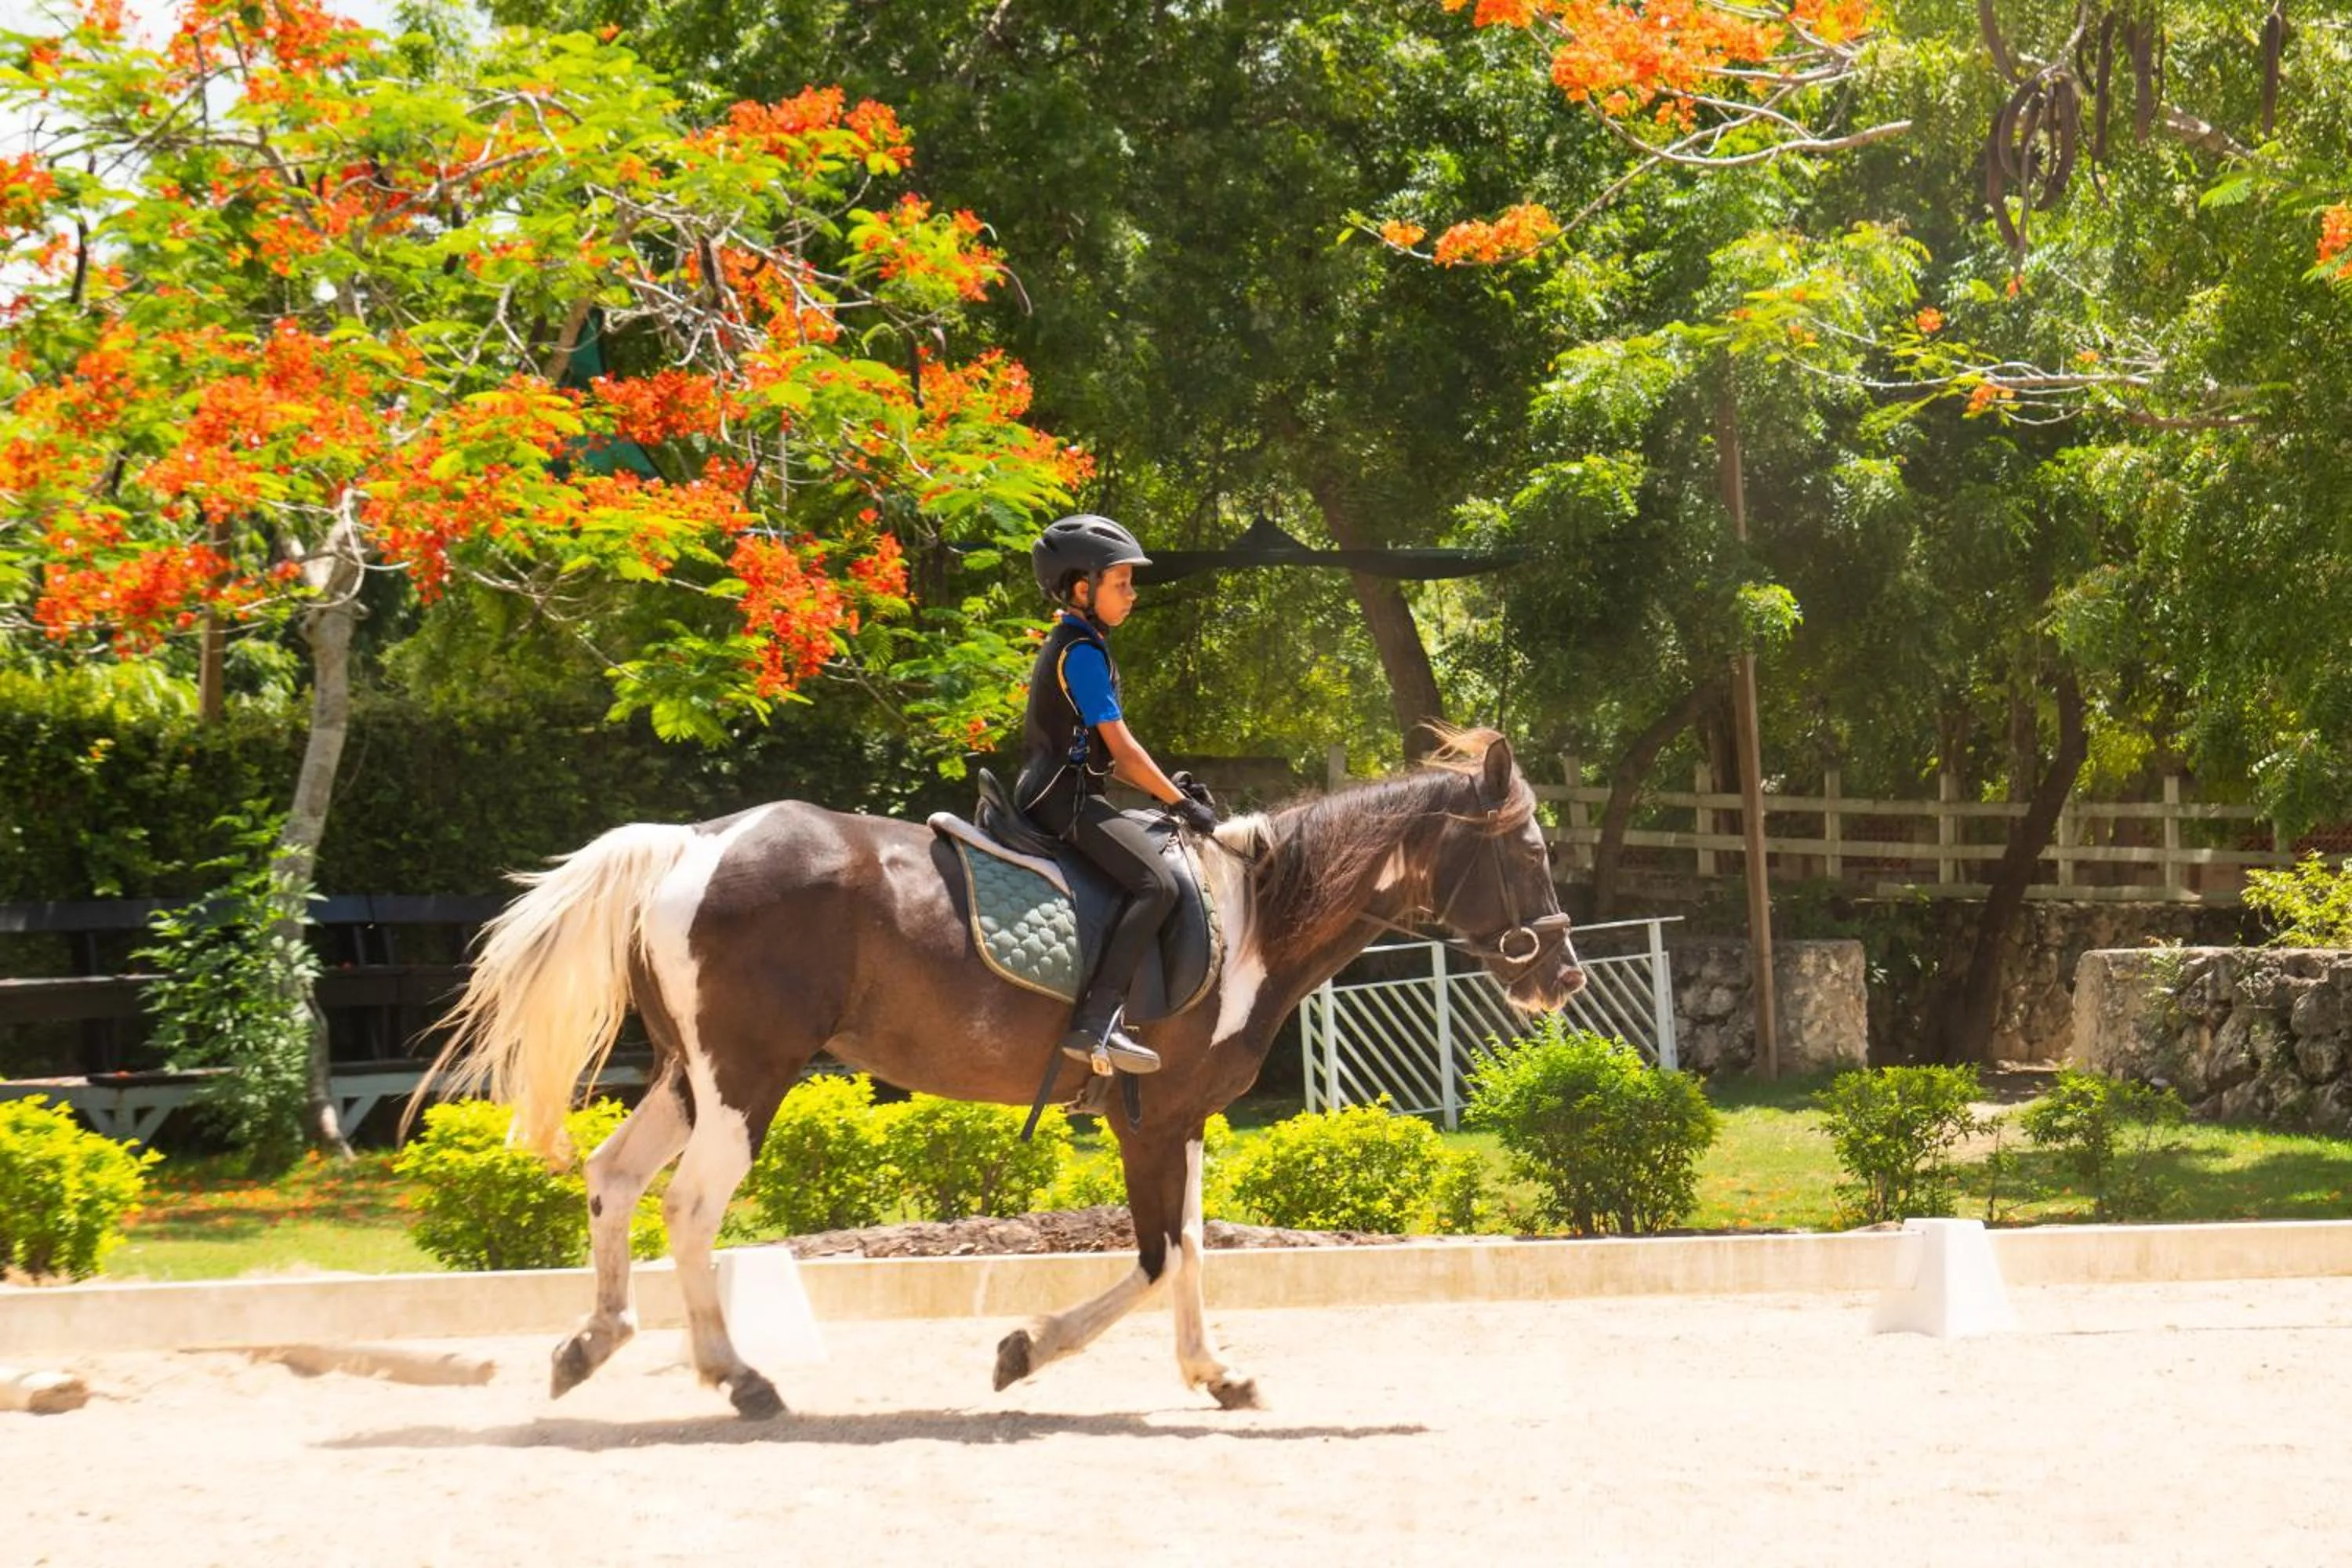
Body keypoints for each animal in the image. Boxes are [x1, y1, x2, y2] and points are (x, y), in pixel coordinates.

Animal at [423, 727, 1584, 1418]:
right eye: (1530, 851)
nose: (1563, 974)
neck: (1251, 918)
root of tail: (691, 843)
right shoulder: (1148, 1117)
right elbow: (1158, 1256)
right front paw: (1024, 1351)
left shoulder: (1181, 1121)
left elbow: (1192, 1250)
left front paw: (1214, 1372)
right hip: (748, 1078)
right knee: (692, 1208)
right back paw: (739, 1376)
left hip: (688, 1074)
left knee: (615, 1180)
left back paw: (593, 1343)